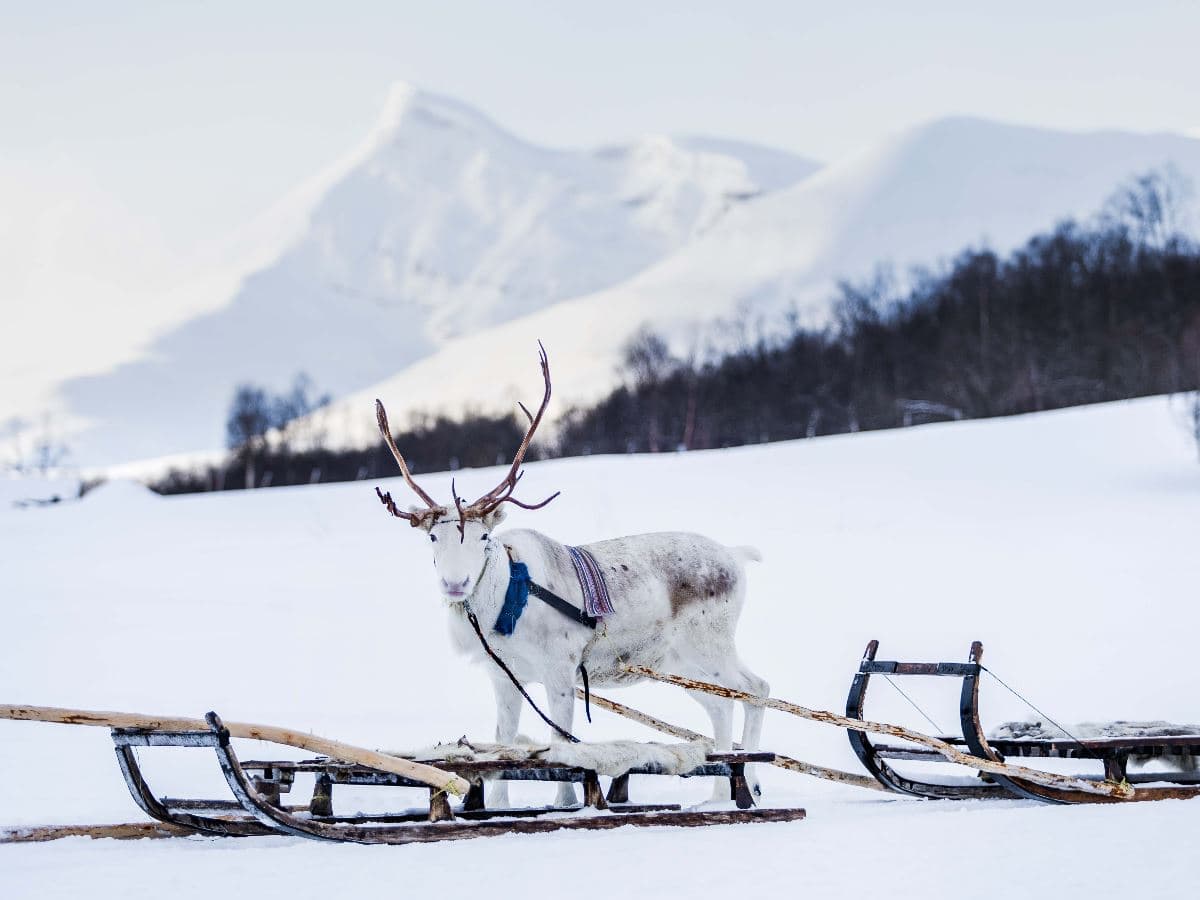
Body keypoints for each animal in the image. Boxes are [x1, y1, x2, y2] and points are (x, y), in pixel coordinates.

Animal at [374, 345, 768, 809]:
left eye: (483, 536)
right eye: (433, 537)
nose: (455, 584)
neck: (502, 606)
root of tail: (736, 557)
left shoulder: (560, 670)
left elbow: (562, 744)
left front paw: (564, 803)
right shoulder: (505, 677)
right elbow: (504, 741)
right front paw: (499, 806)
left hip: (710, 644)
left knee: (756, 689)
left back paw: (751, 783)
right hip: (678, 662)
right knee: (721, 705)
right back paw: (719, 794)